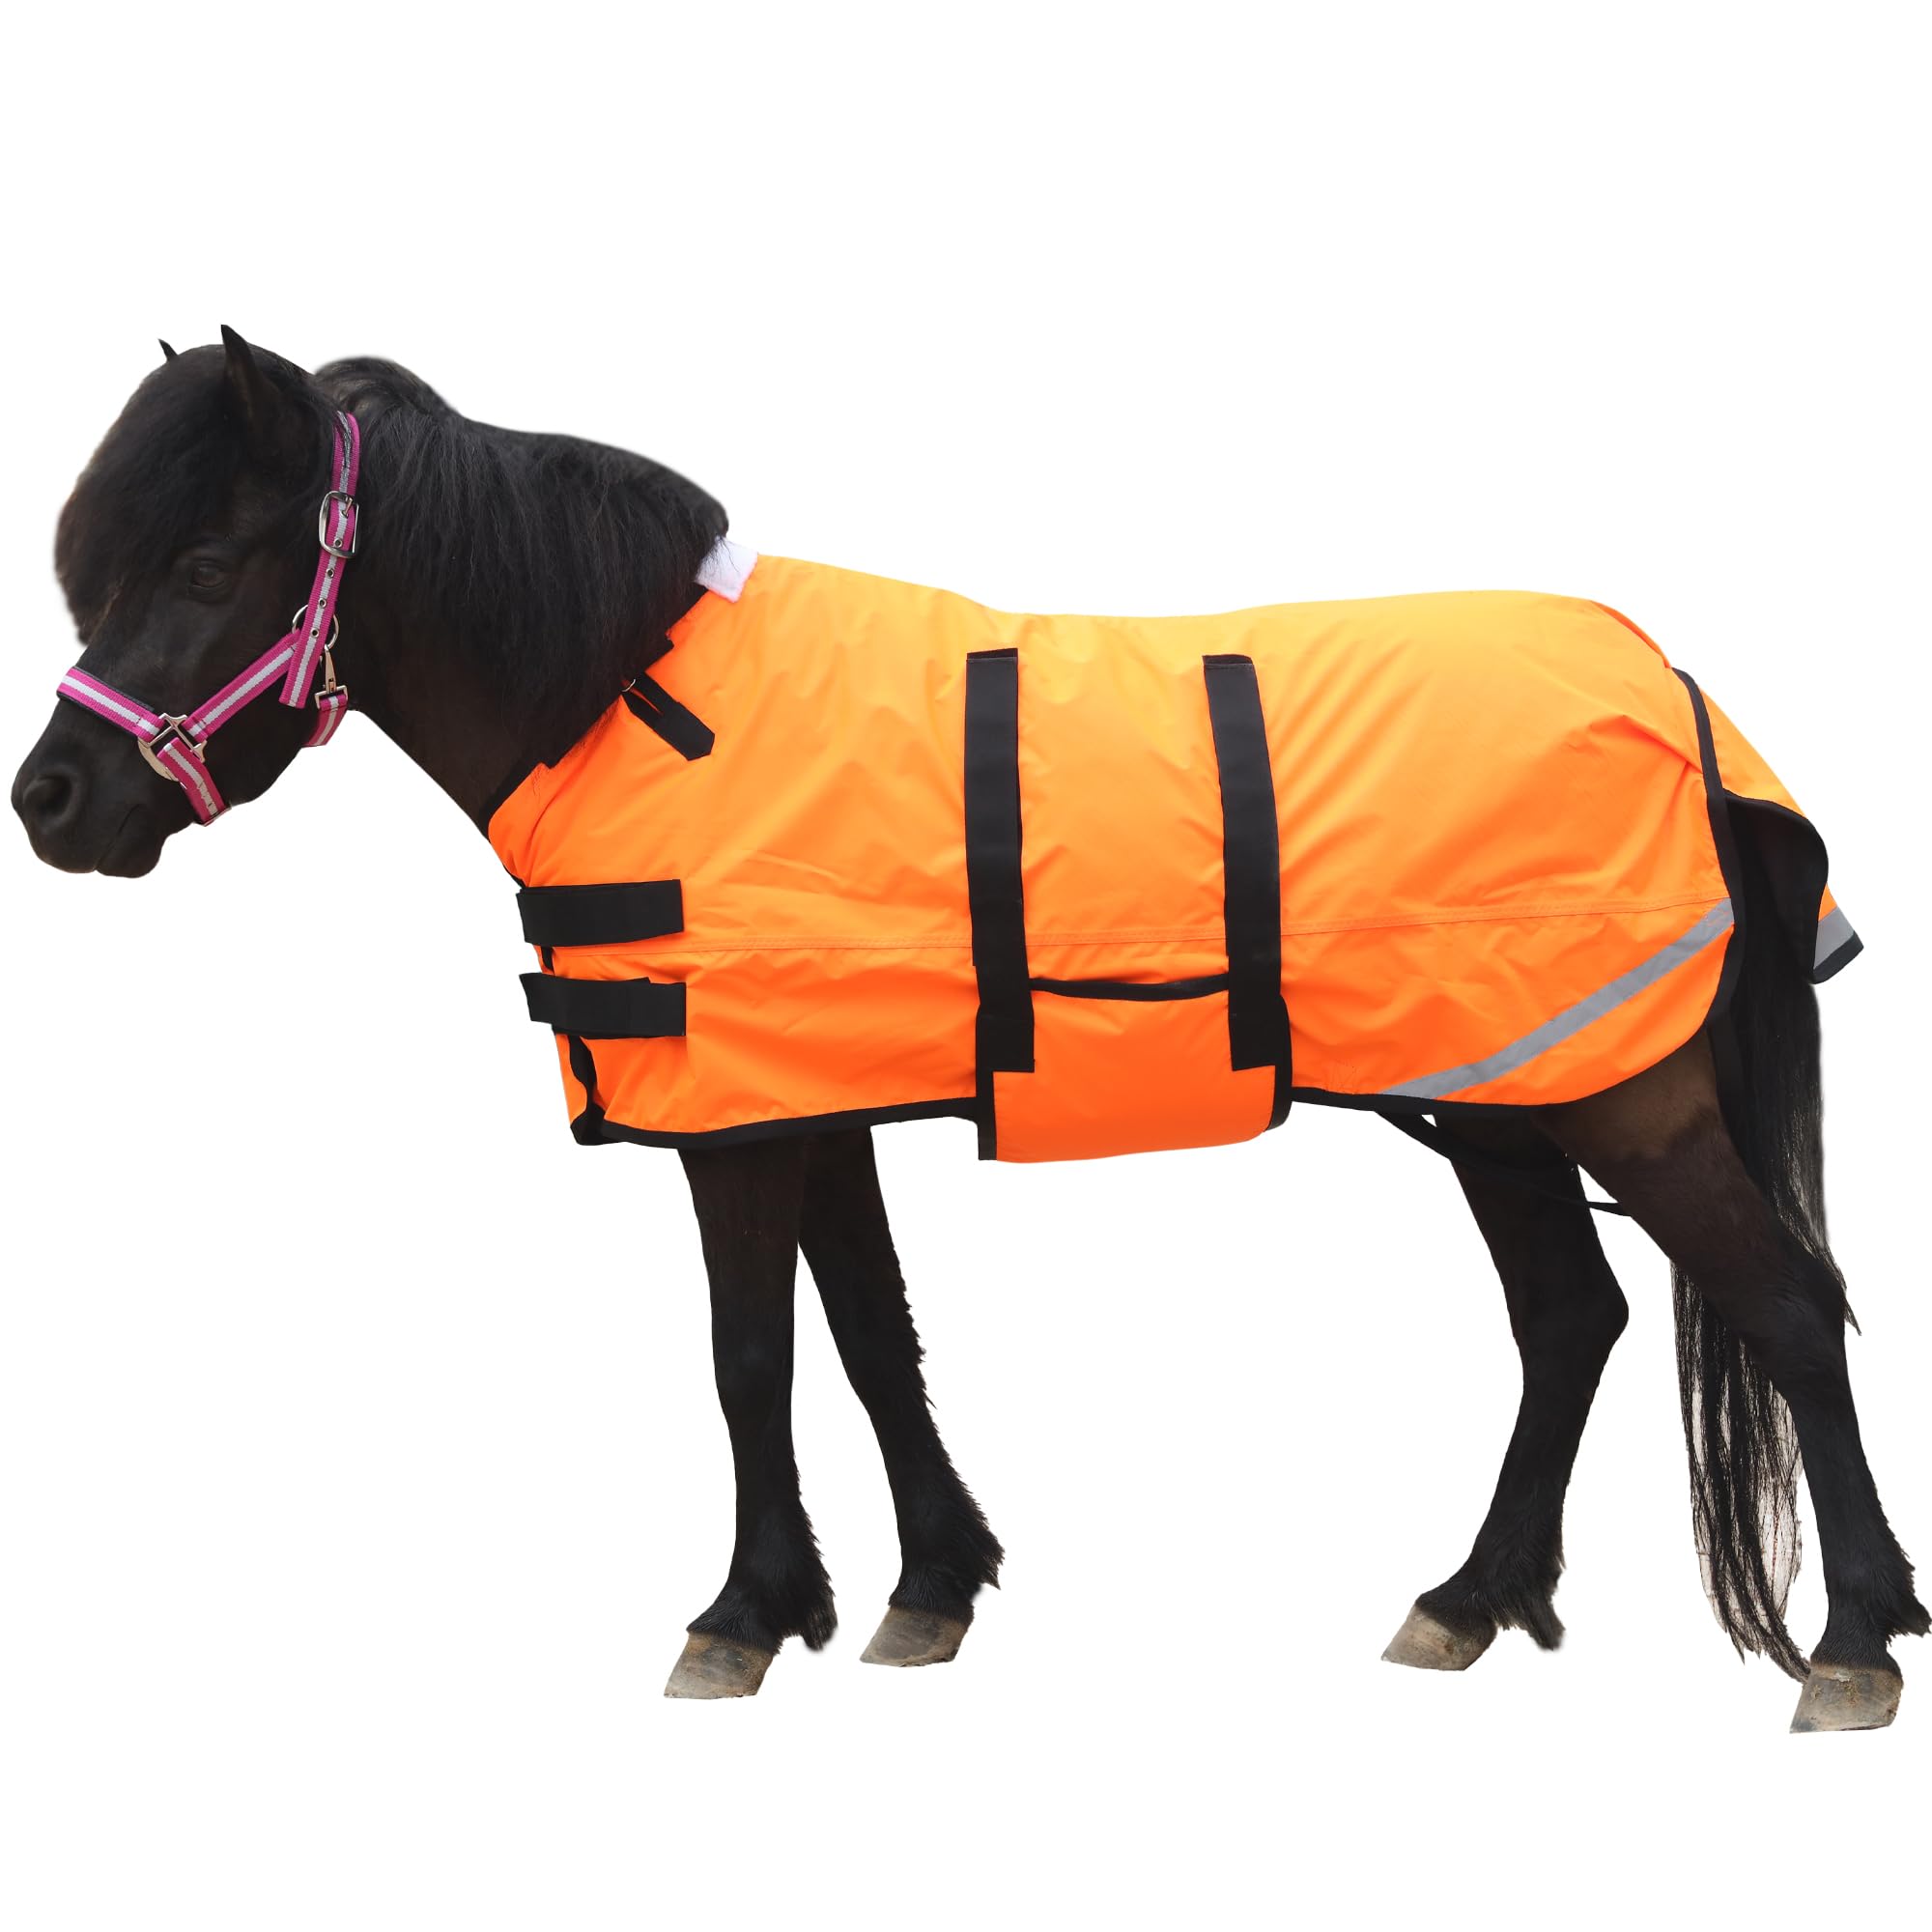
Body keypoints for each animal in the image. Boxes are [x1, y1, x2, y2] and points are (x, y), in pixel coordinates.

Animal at [12, 328, 1925, 1729]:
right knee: (1573, 1321)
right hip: (1512, 1096)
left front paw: (741, 1614)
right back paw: (1469, 1599)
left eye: (207, 555)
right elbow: (871, 1339)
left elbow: (752, 1357)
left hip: (1626, 1102)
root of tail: (1673, 687)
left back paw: (1851, 1642)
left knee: (1784, 1306)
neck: (627, 692)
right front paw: (923, 1589)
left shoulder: (736, 1124)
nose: (53, 800)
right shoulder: (813, 1102)